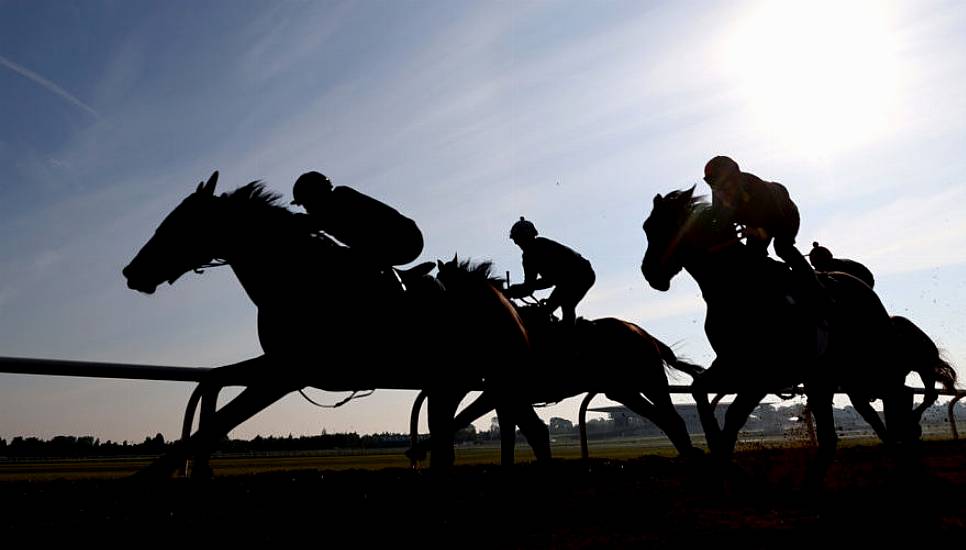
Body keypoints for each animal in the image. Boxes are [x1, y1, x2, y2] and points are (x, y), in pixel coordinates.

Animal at [122, 174, 536, 478]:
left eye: (179, 223)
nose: (131, 271)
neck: (300, 278)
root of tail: (504, 301)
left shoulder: (287, 372)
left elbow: (220, 419)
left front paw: (155, 474)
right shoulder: (275, 362)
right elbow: (213, 381)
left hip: (494, 379)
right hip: (451, 383)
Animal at [644, 188, 924, 480]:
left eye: (669, 226)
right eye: (647, 227)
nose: (650, 271)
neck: (736, 285)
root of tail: (865, 288)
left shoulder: (764, 374)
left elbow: (734, 415)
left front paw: (725, 458)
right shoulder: (730, 363)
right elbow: (699, 390)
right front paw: (716, 448)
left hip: (866, 366)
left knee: (897, 396)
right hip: (830, 378)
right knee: (842, 431)